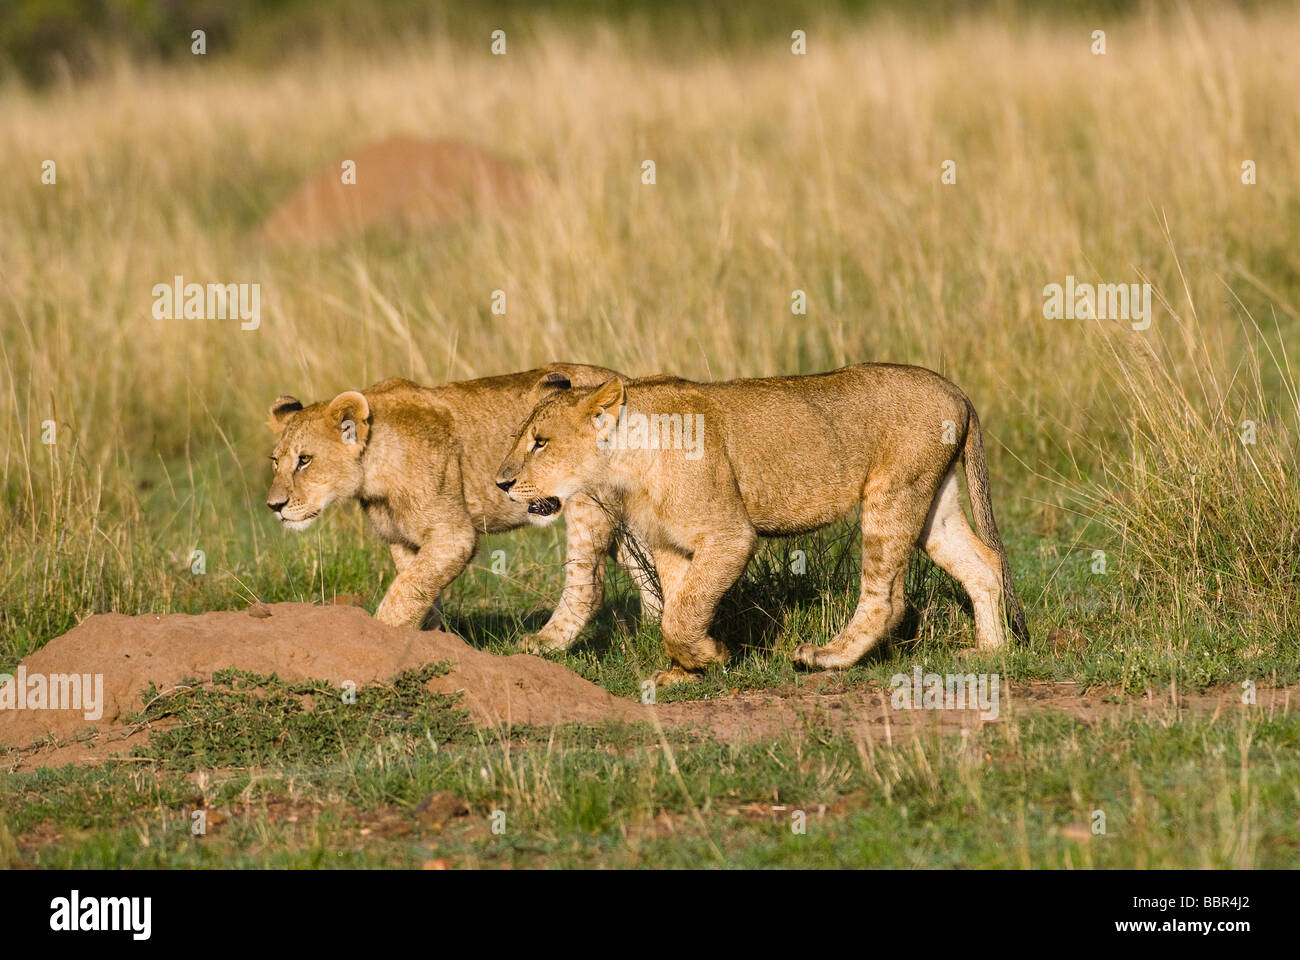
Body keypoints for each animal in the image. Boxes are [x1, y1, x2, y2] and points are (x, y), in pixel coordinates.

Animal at [265, 364, 658, 646]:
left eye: (304, 460)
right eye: (276, 461)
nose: (274, 505)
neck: (372, 468)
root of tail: (626, 383)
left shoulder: (453, 535)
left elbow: (403, 593)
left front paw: (381, 638)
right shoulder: (404, 539)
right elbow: (419, 589)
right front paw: (431, 640)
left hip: (585, 503)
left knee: (588, 586)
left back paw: (544, 643)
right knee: (647, 567)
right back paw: (656, 632)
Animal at [494, 363, 1028, 685]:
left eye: (540, 442)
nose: (501, 483)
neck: (624, 462)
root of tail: (955, 389)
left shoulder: (730, 535)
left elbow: (682, 613)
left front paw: (708, 658)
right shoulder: (670, 544)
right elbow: (677, 608)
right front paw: (685, 672)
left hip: (891, 495)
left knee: (888, 598)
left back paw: (828, 656)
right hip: (932, 501)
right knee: (984, 561)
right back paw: (990, 653)